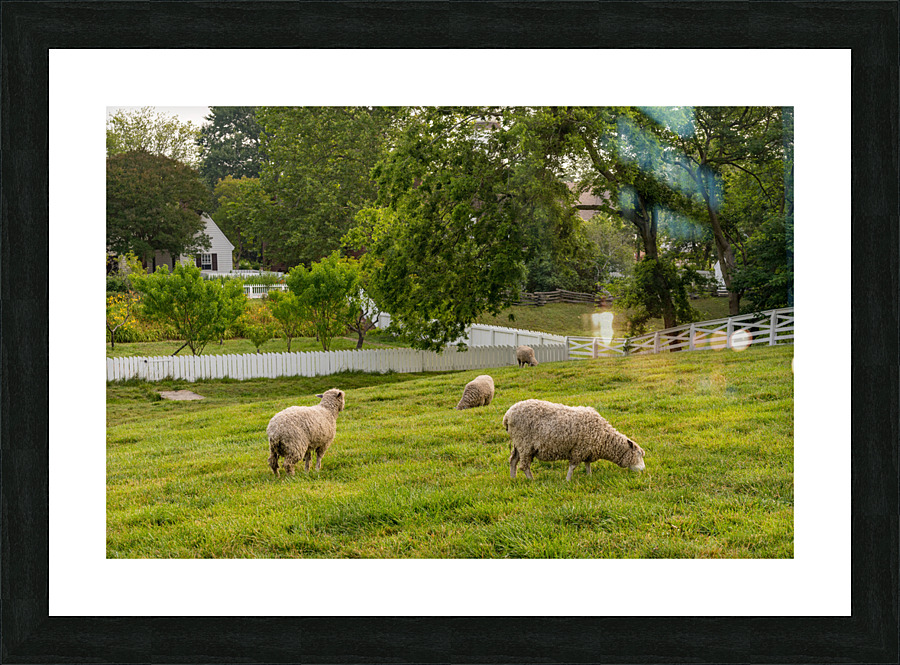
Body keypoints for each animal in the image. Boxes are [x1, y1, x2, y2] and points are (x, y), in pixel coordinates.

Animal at [502, 399, 646, 481]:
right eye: (638, 454)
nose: (643, 470)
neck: (603, 436)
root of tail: (507, 415)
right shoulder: (578, 450)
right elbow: (573, 466)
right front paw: (568, 480)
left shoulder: (588, 450)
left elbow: (587, 464)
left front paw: (589, 476)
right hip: (525, 444)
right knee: (524, 465)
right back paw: (531, 480)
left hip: (518, 443)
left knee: (513, 460)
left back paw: (513, 478)